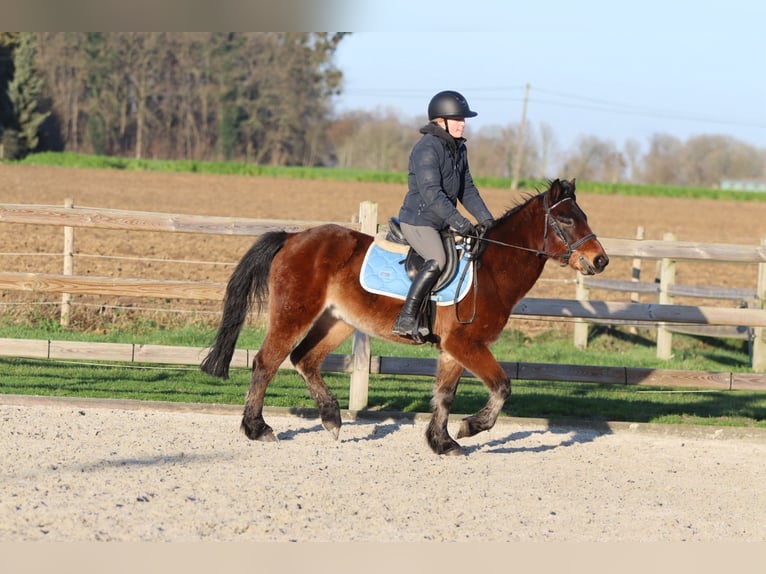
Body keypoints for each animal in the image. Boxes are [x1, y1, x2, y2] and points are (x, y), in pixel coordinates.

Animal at [200, 178, 609, 455]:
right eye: (567, 220)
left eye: (584, 216)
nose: (600, 260)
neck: (492, 270)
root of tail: (292, 237)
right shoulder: (467, 343)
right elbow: (502, 386)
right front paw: (470, 427)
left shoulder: (453, 349)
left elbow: (444, 394)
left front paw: (441, 441)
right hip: (294, 314)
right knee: (267, 362)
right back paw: (257, 428)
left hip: (338, 321)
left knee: (304, 359)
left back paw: (332, 418)